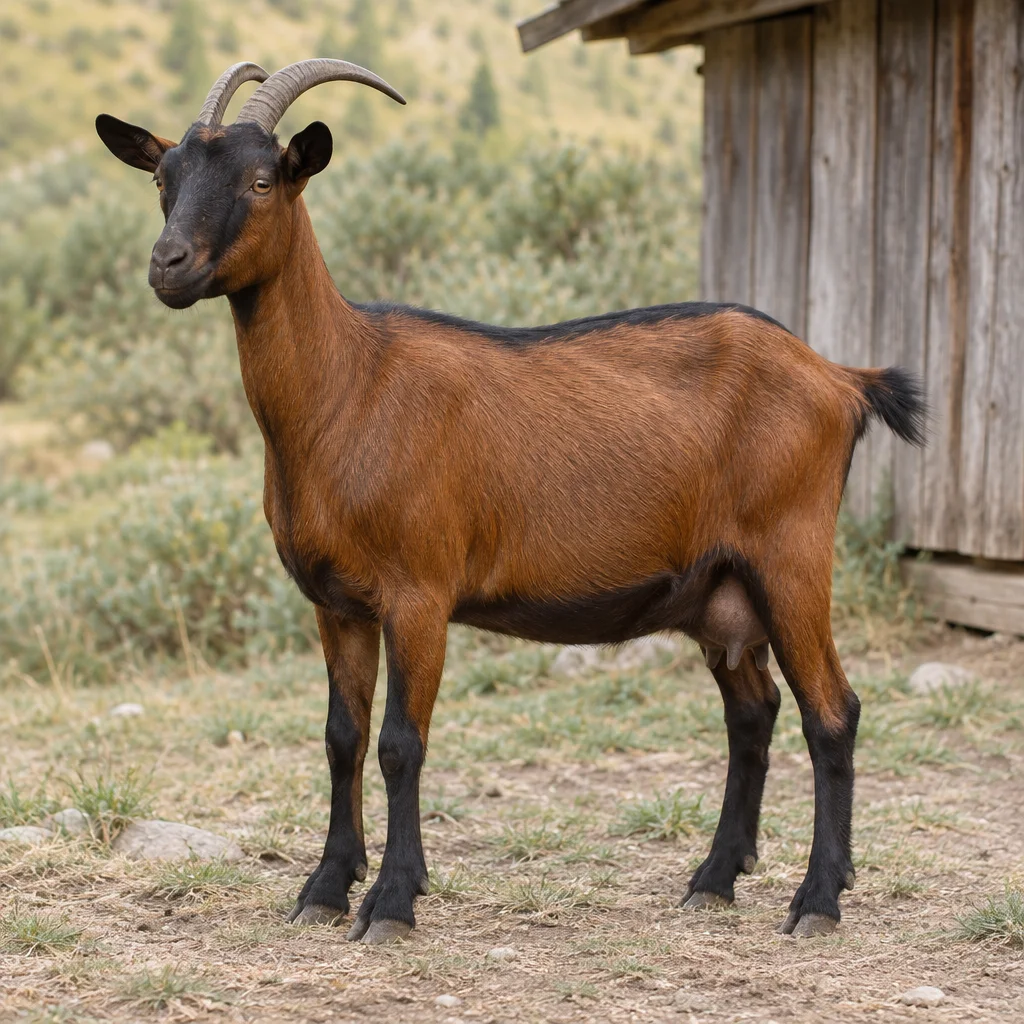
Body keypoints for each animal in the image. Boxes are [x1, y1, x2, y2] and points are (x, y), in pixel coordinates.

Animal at [96, 59, 926, 945]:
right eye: (162, 177)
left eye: (260, 181)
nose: (168, 264)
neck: (349, 389)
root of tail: (840, 380)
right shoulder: (336, 602)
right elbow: (341, 738)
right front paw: (324, 889)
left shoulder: (419, 593)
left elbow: (400, 743)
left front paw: (392, 903)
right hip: (721, 590)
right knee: (754, 712)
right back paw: (713, 879)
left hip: (791, 553)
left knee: (831, 711)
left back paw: (819, 900)